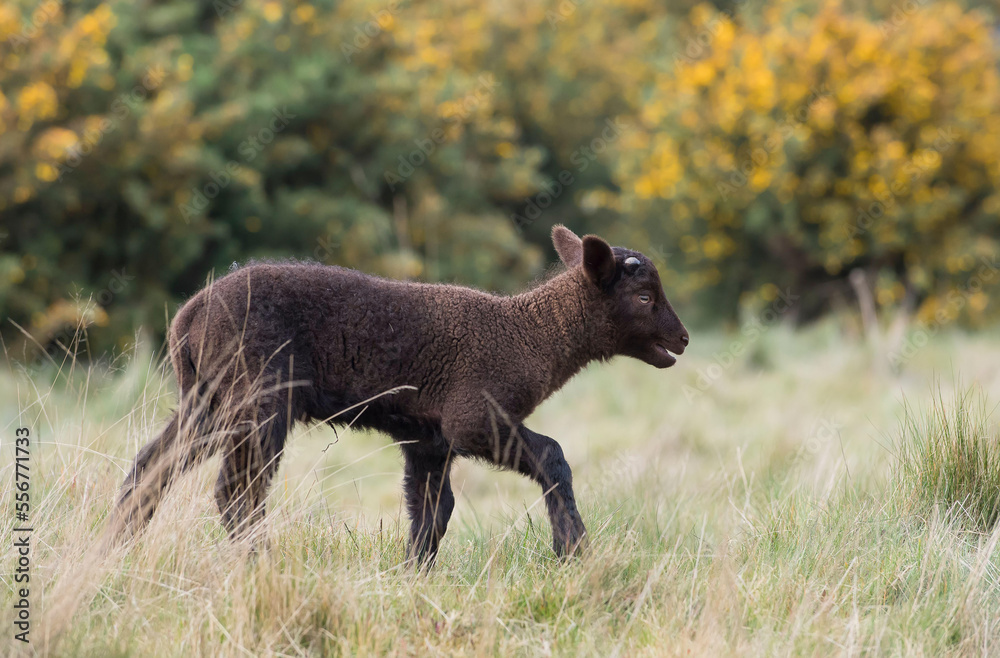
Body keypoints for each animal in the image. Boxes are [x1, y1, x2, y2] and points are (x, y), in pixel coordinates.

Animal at [111, 225, 689, 564]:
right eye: (644, 297)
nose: (681, 340)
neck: (531, 335)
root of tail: (188, 318)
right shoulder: (473, 417)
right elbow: (553, 456)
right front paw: (573, 549)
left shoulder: (429, 439)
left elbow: (433, 509)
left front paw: (413, 573)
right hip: (260, 395)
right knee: (238, 491)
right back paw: (261, 563)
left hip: (209, 399)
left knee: (151, 466)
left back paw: (114, 551)